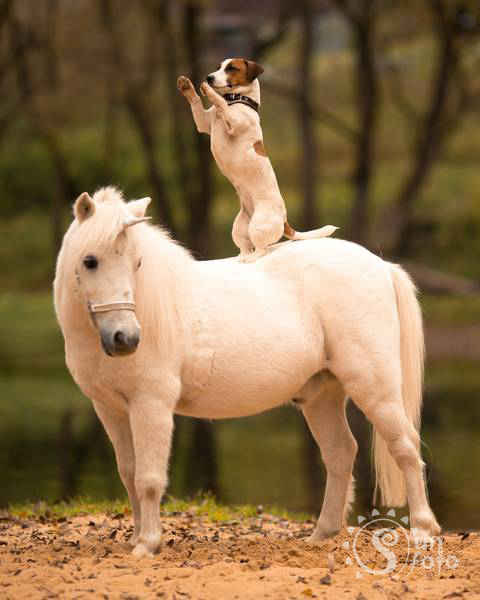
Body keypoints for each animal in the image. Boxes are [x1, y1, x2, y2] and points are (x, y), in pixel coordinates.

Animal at [53, 188, 438, 556]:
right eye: (89, 261)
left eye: (137, 263)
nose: (126, 339)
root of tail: (382, 266)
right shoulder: (111, 410)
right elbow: (129, 473)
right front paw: (134, 540)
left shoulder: (152, 405)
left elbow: (149, 478)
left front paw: (148, 544)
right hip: (321, 396)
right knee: (341, 453)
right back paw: (321, 534)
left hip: (375, 387)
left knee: (405, 447)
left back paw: (423, 529)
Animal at [177, 58, 338, 262]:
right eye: (218, 67)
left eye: (232, 68)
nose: (209, 78)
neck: (237, 100)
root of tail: (284, 221)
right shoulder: (203, 122)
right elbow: (196, 103)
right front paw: (186, 86)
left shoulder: (235, 122)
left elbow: (221, 103)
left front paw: (210, 92)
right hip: (239, 228)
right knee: (246, 247)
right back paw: (241, 257)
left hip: (258, 227)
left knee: (262, 250)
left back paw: (250, 258)